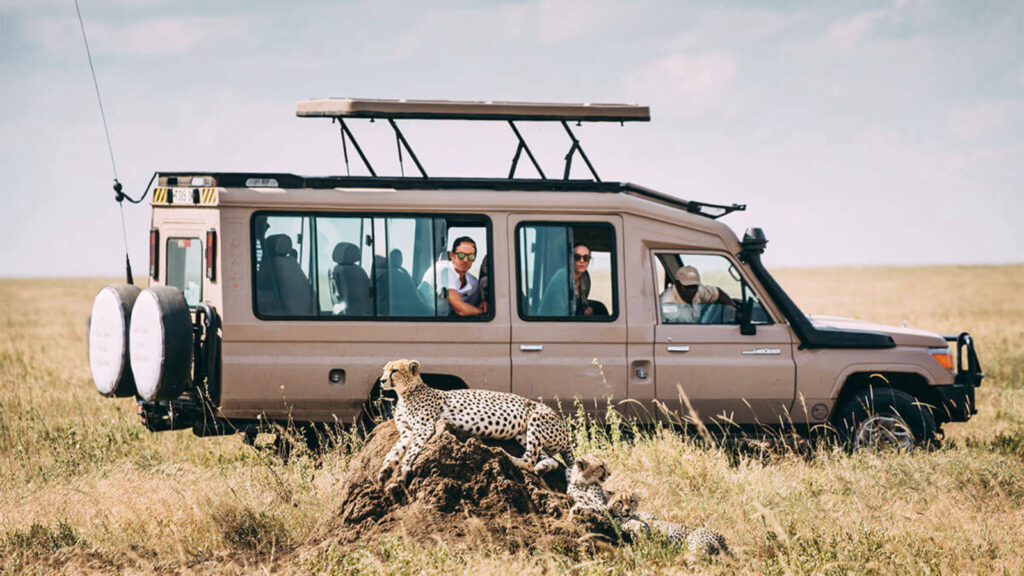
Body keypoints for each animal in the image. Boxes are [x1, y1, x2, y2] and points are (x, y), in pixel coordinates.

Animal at [376, 359, 575, 486]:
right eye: (385, 369)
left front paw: (401, 473)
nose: (382, 380)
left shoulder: (424, 428)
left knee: (529, 460)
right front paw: (385, 469)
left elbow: (410, 452)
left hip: (536, 419)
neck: (406, 394)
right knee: (548, 460)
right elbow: (395, 449)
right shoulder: (407, 431)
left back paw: (506, 456)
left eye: (394, 370)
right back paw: (542, 467)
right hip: (523, 435)